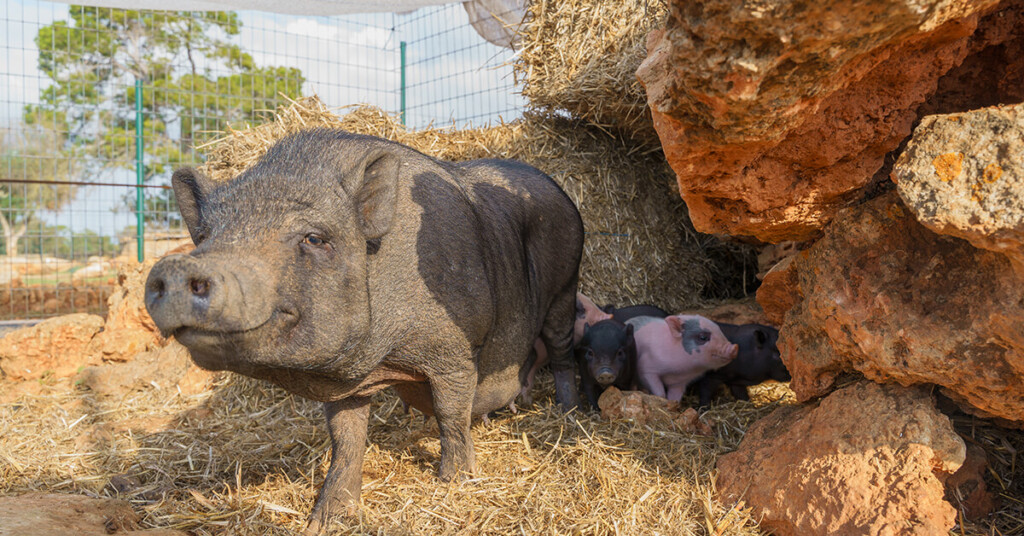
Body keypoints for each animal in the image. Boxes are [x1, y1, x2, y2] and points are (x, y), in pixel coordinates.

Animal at [142, 129, 585, 532]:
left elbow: (450, 415)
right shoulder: (346, 385)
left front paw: (454, 481)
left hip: (565, 286)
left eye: (314, 237)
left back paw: (568, 412)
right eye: (204, 237)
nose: (178, 267)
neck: (382, 358)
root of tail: (560, 191)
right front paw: (327, 519)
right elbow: (346, 440)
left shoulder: (454, 351)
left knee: (562, 349)